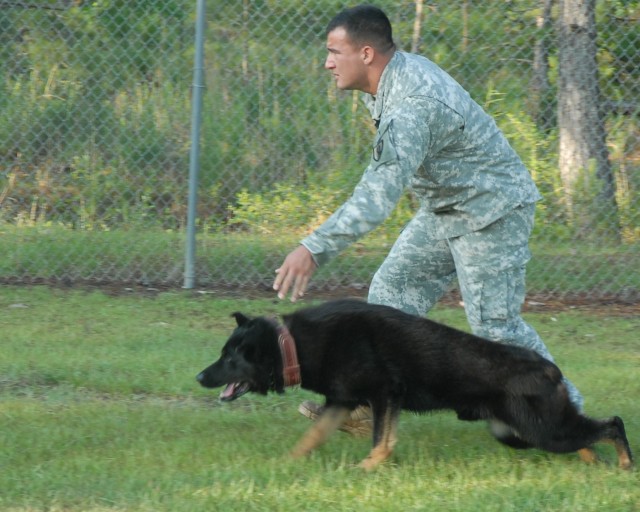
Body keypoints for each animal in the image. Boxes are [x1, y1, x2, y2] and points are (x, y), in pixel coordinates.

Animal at [196, 298, 636, 470]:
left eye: (229, 359)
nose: (199, 376)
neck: (292, 346)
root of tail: (551, 369)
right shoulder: (341, 401)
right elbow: (312, 436)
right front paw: (289, 462)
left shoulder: (384, 395)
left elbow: (382, 441)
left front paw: (368, 468)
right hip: (518, 433)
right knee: (586, 435)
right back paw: (593, 460)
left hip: (540, 430)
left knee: (611, 424)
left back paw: (625, 464)